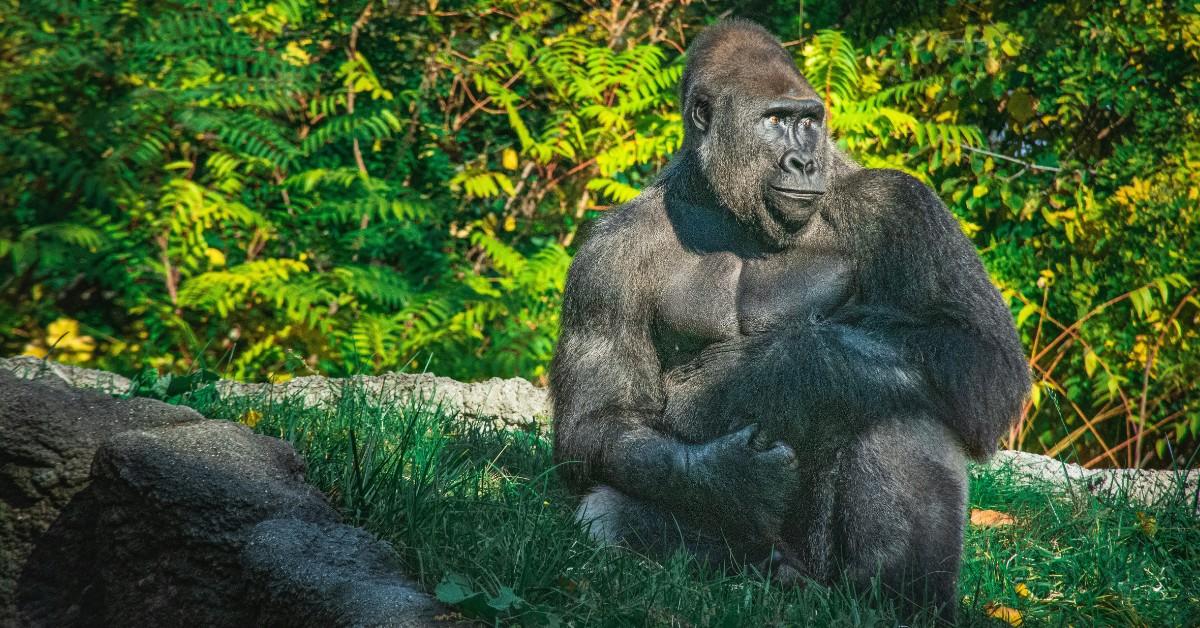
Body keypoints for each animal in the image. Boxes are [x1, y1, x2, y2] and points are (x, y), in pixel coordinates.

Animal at [550, 19, 1030, 620]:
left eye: (809, 122)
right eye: (776, 121)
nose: (804, 162)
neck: (726, 205)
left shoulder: (900, 205)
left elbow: (979, 353)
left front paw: (776, 367)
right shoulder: (605, 257)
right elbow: (598, 423)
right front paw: (728, 478)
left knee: (904, 402)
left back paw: (898, 602)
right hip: (751, 559)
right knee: (608, 515)